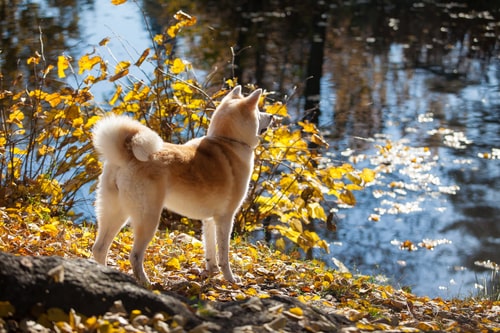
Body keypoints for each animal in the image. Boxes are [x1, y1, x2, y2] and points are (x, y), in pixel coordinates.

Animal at [92, 84, 276, 284]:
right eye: (258, 111)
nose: (272, 116)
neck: (227, 142)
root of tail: (127, 157)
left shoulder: (209, 220)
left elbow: (210, 250)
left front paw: (211, 273)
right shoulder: (225, 218)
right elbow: (224, 255)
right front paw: (230, 279)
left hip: (115, 212)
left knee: (99, 248)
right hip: (147, 218)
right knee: (134, 256)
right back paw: (146, 283)